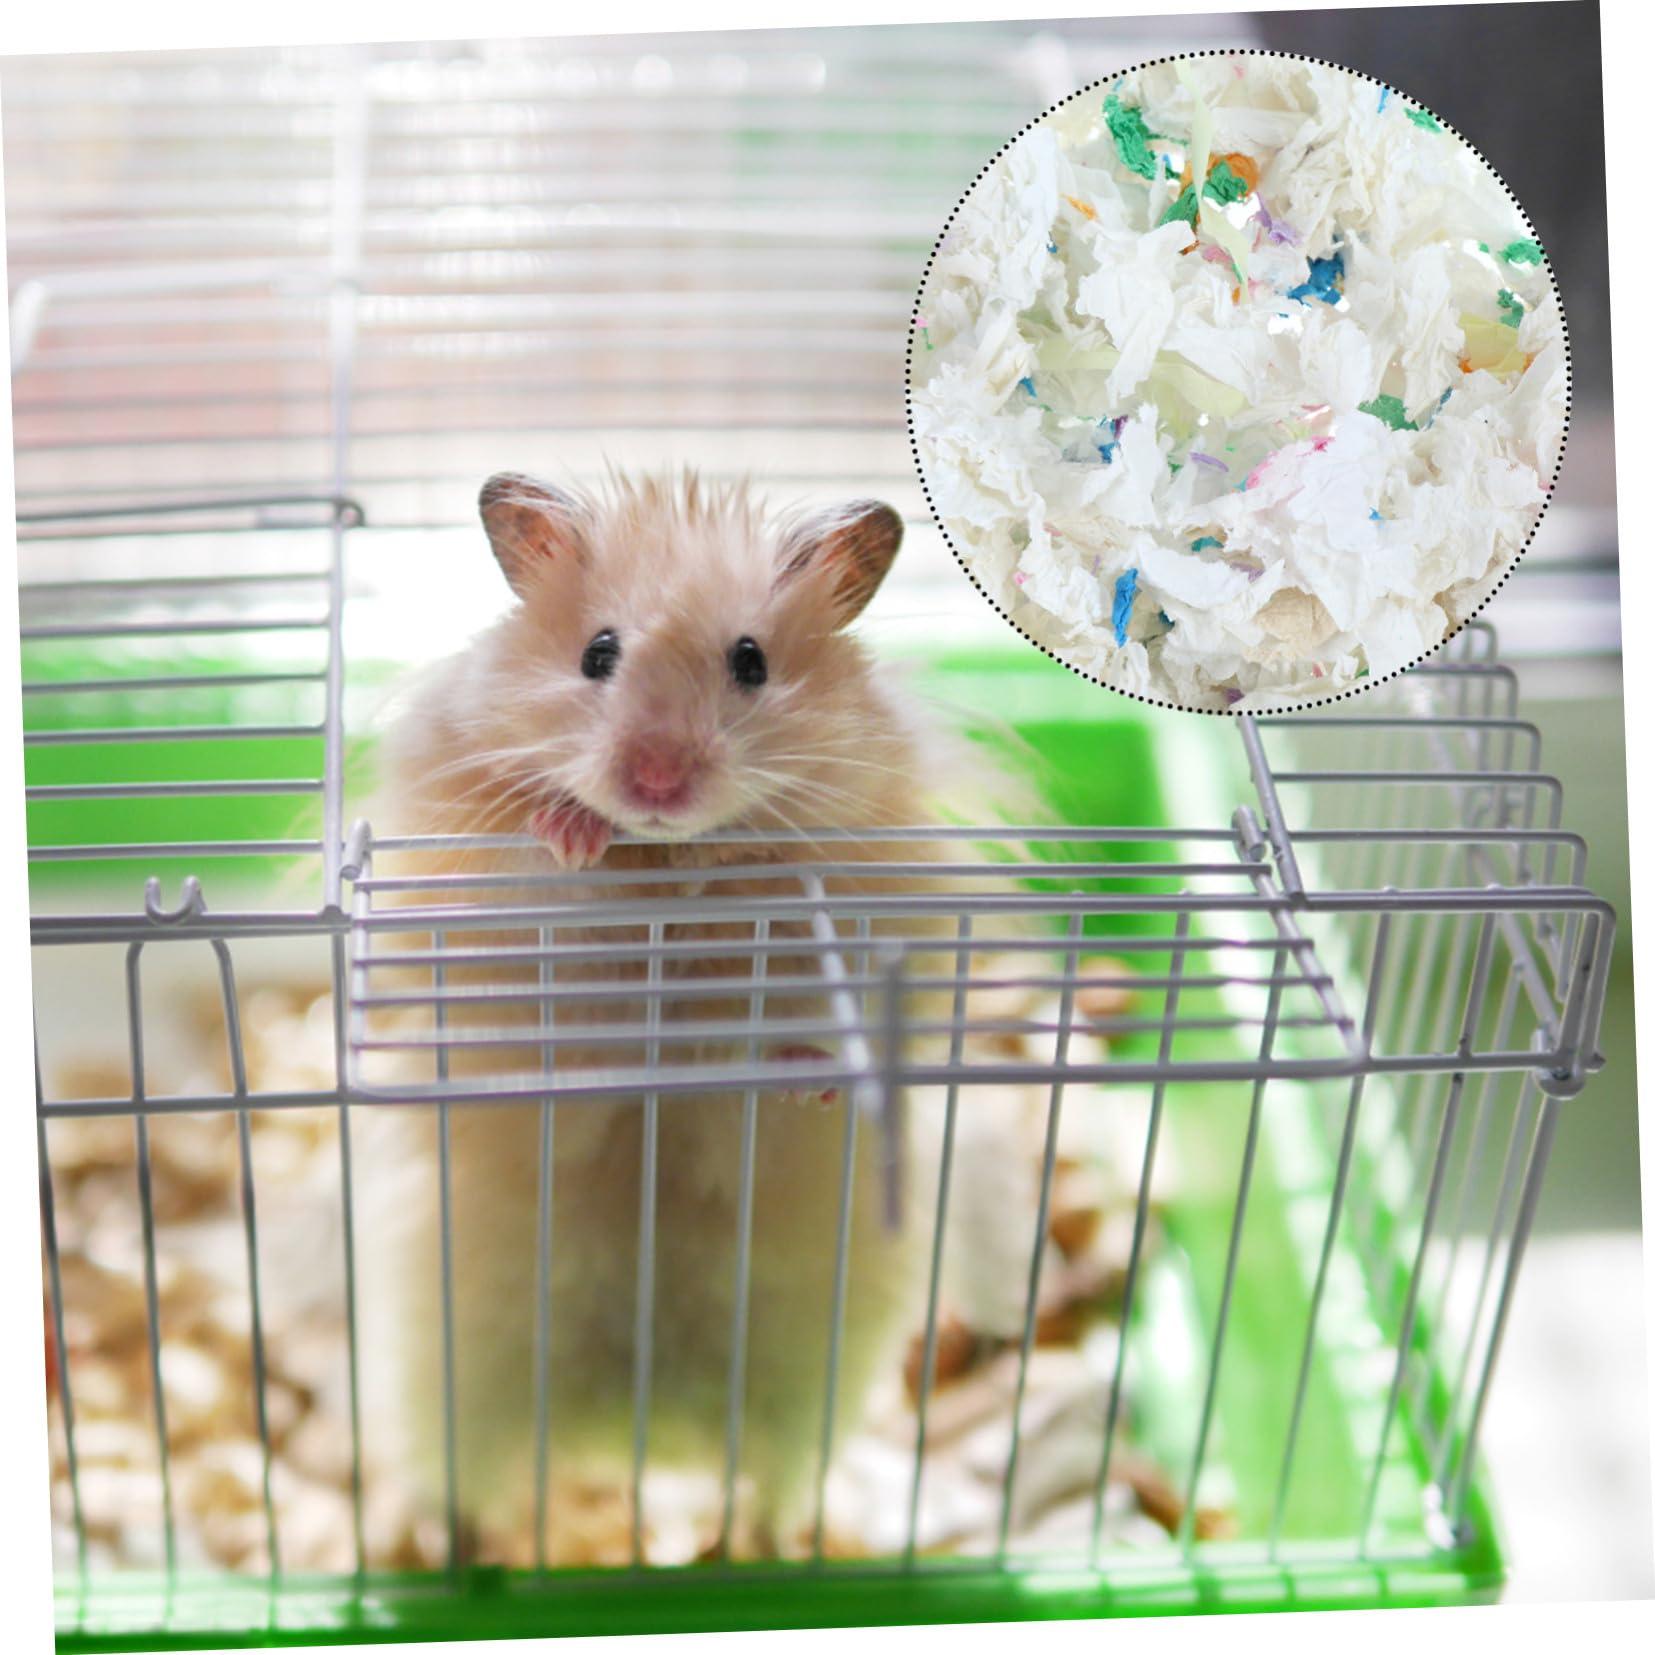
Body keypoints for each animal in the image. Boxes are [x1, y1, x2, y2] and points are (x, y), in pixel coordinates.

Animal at [355, 469, 1019, 1563]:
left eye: (750, 661)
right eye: (597, 653)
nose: (657, 782)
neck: (660, 863)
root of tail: (639, 1435)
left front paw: (803, 1066)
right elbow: (545, 925)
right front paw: (574, 830)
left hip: (807, 1391)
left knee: (771, 1487)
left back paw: (759, 1548)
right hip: (447, 1379)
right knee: (458, 1486)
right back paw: (449, 1554)